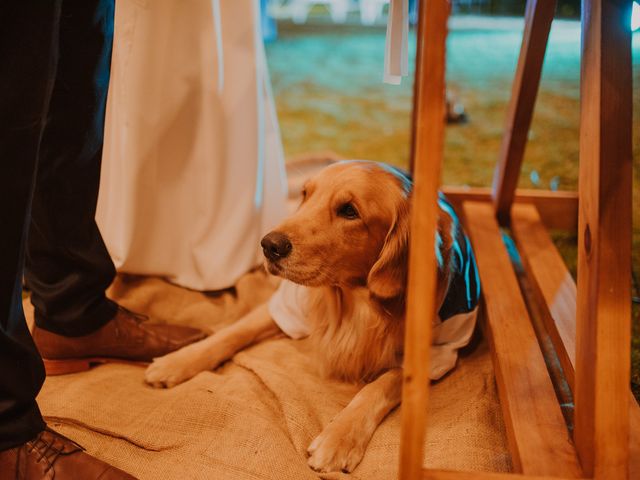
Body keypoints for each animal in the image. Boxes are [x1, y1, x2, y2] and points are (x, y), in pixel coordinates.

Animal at [142, 160, 478, 472]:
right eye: (306, 194)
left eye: (349, 211)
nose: (269, 245)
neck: (353, 300)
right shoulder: (287, 306)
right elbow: (233, 332)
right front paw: (177, 360)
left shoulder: (440, 351)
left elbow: (382, 384)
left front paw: (340, 437)